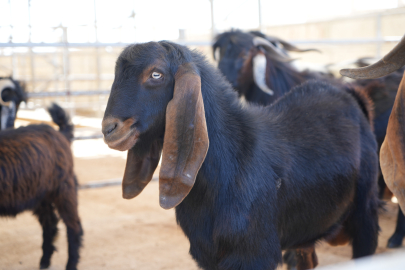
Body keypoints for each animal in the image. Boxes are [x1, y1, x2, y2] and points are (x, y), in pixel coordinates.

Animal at [0, 103, 82, 270]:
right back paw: (45, 260)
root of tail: (60, 134)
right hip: (40, 195)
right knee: (50, 223)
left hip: (64, 189)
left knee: (73, 225)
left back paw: (70, 264)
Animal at [101, 40, 378, 270]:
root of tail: (350, 95)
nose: (109, 129)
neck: (233, 160)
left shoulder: (255, 254)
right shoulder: (208, 255)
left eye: (156, 74)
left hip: (365, 213)